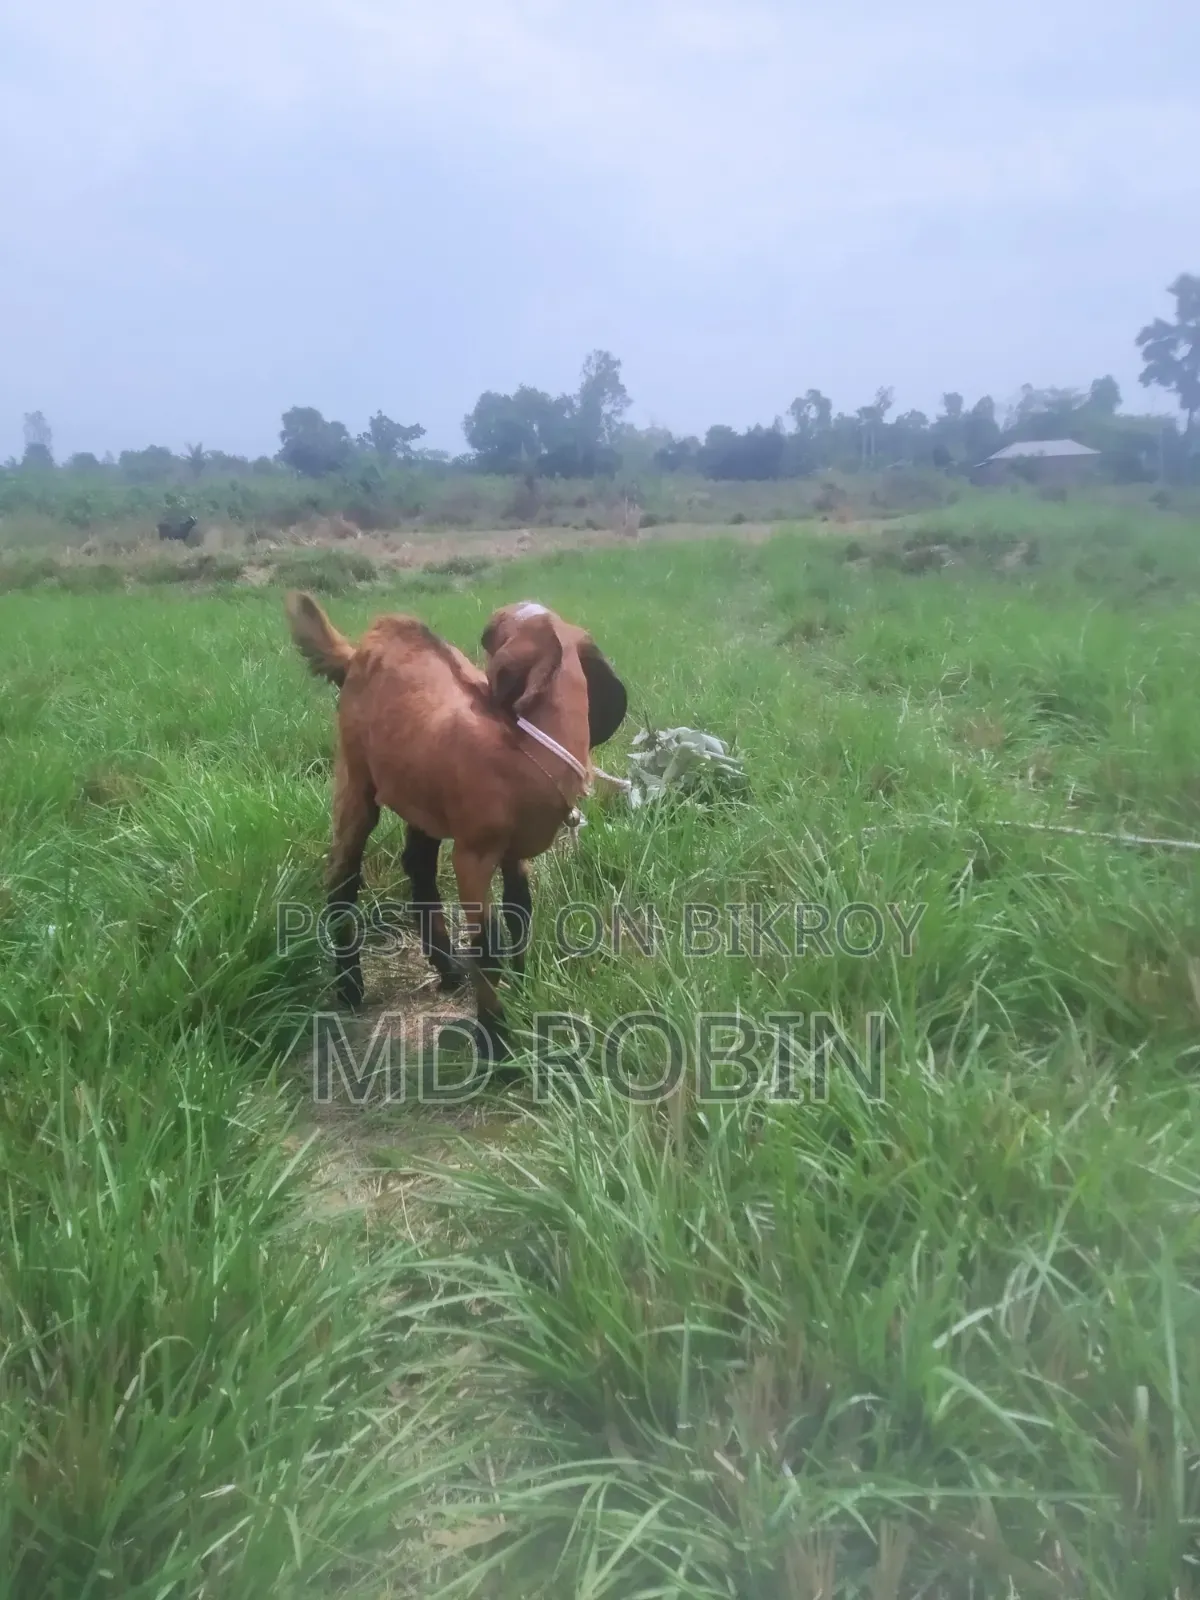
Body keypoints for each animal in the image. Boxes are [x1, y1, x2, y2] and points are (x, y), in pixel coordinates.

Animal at [284, 591, 627, 1063]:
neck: (529, 752)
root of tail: (358, 652)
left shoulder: (513, 852)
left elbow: (520, 911)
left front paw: (523, 990)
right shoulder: (473, 855)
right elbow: (487, 945)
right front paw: (496, 1045)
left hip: (421, 796)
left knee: (418, 866)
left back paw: (445, 968)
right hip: (355, 776)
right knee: (342, 873)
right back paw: (350, 986)